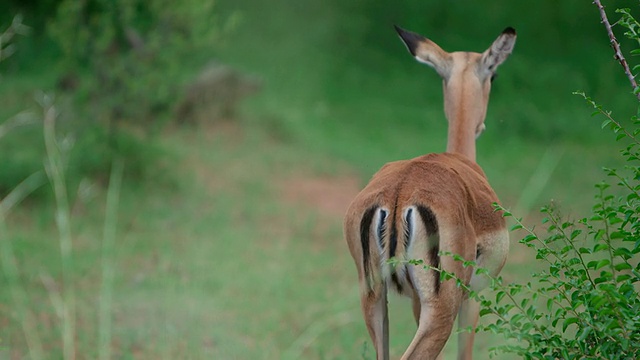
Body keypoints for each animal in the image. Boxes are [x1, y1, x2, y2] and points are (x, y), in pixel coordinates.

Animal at [344, 26, 516, 360]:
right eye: (495, 74)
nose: (481, 126)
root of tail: (398, 195)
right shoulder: (473, 297)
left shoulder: (414, 301)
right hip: (441, 310)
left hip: (373, 299)